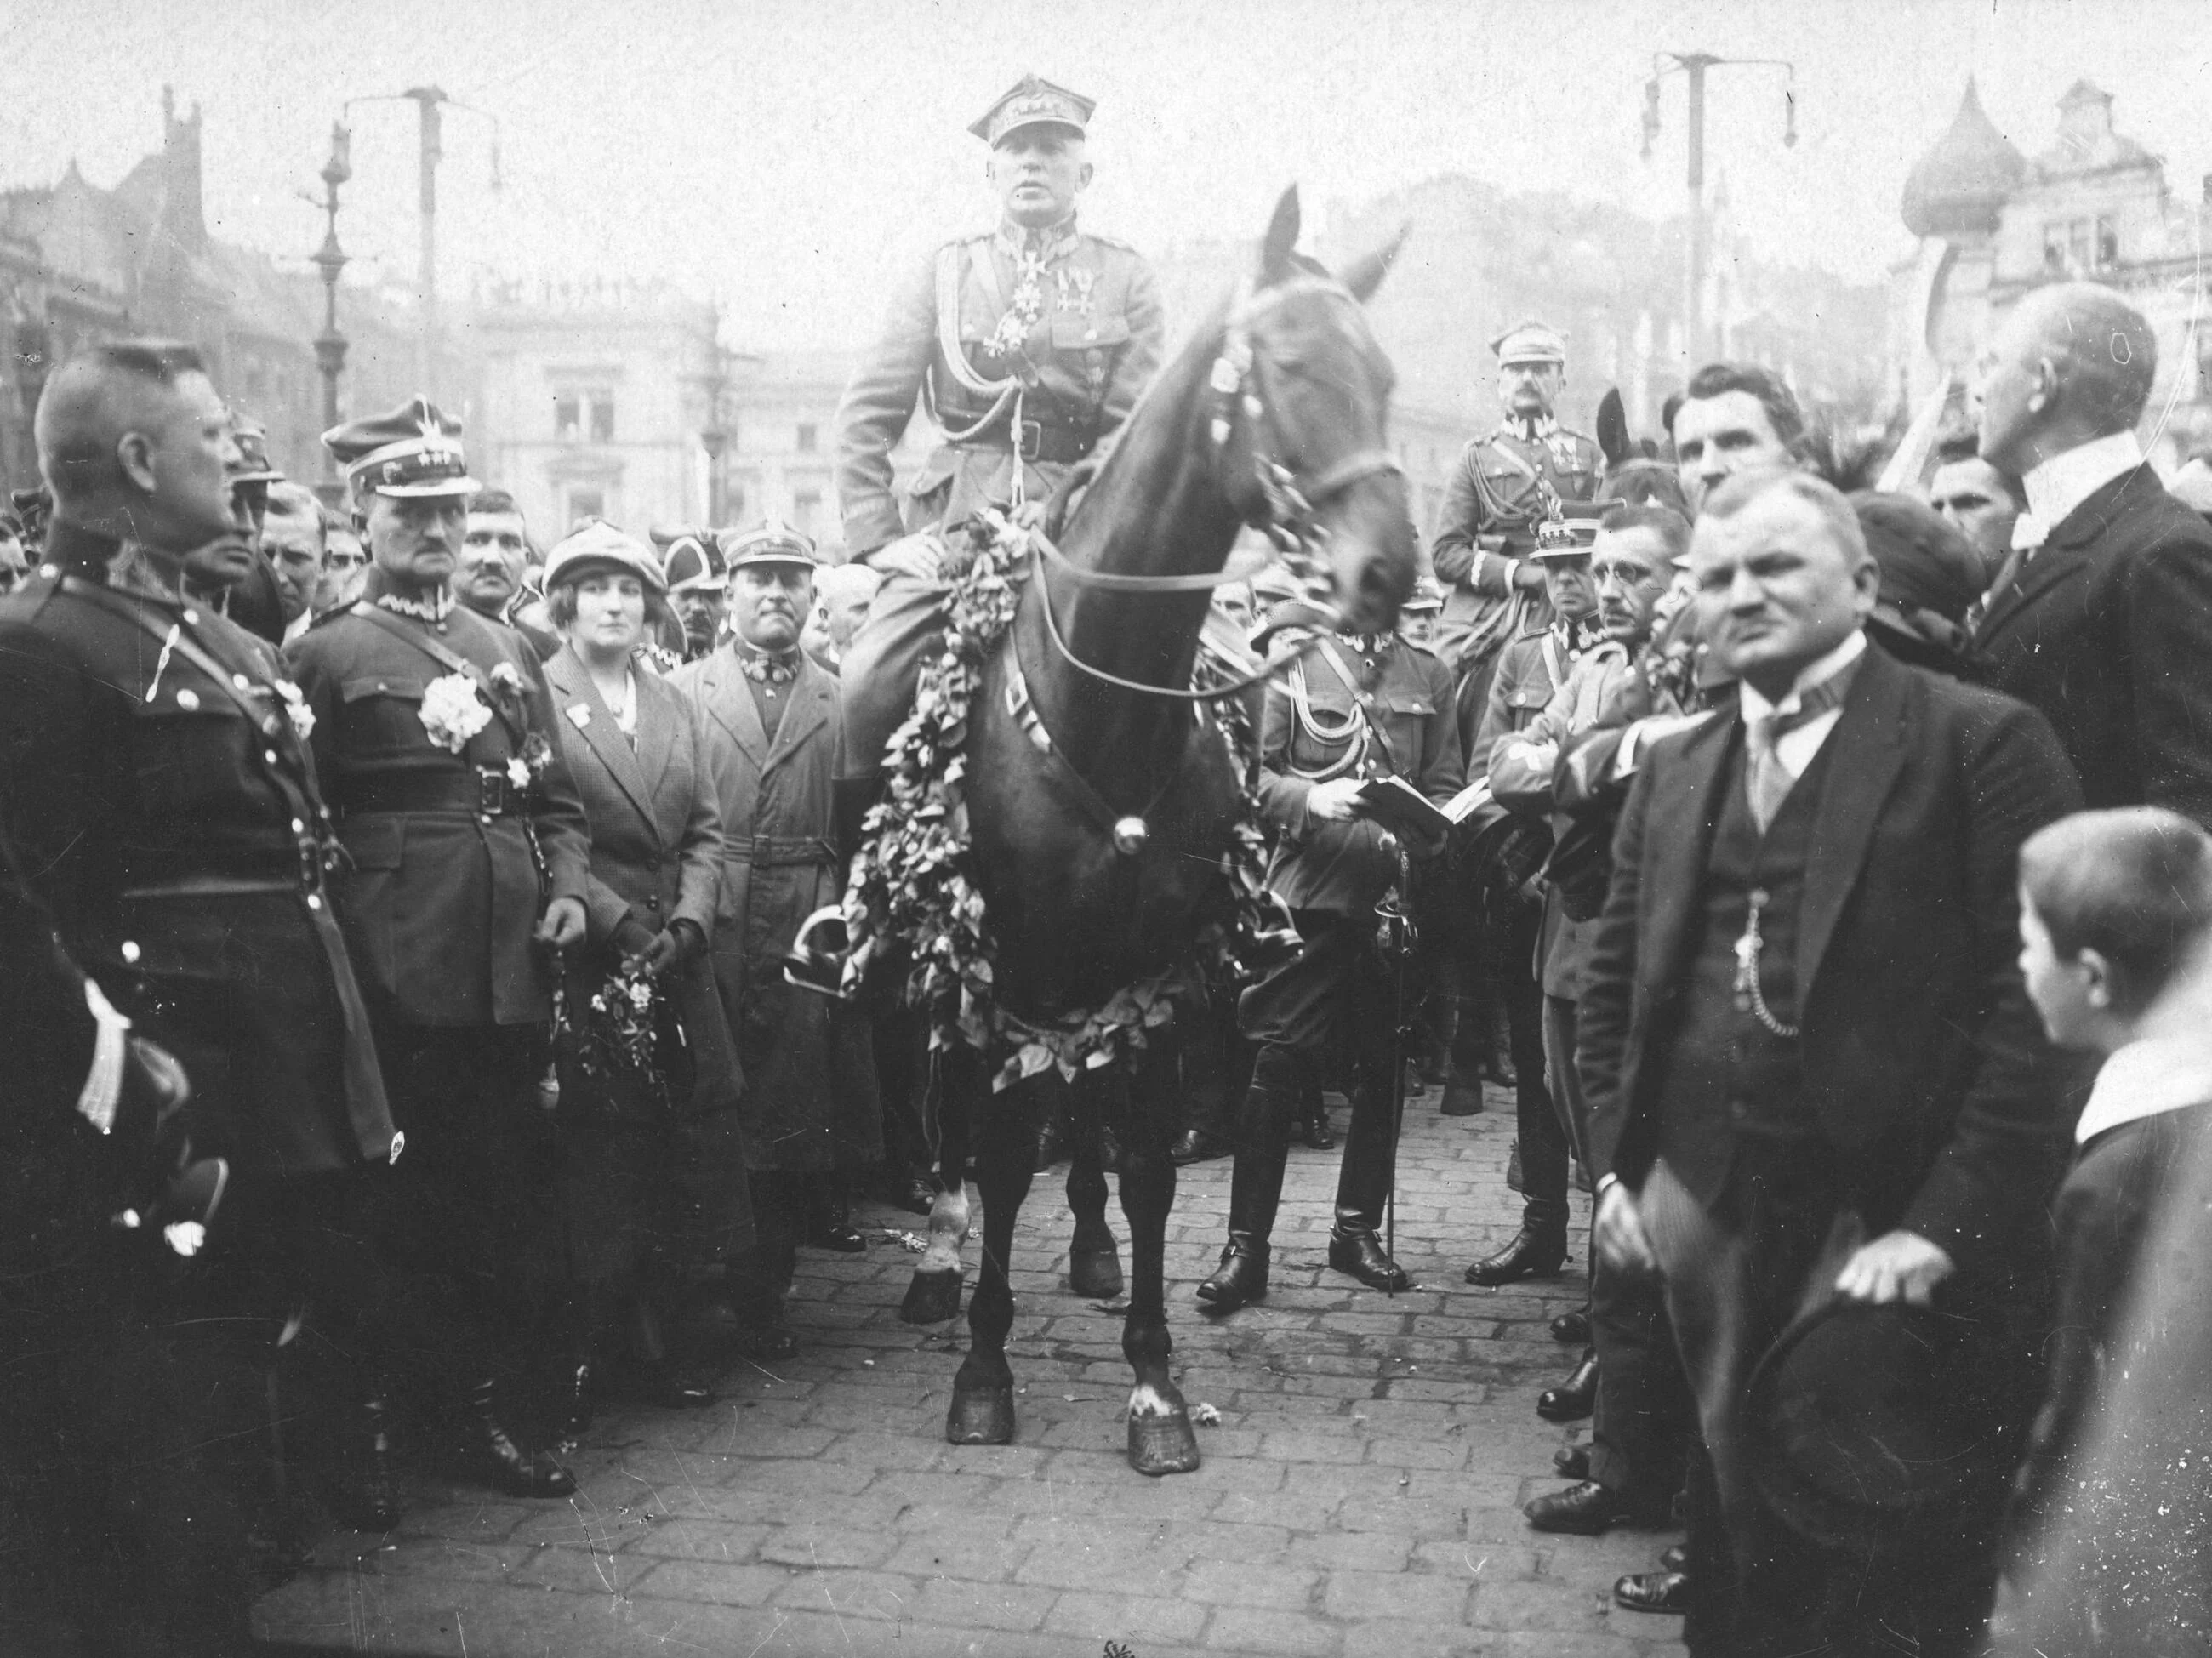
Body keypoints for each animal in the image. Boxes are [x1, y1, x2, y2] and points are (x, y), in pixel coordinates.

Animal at [889, 191, 1406, 1476]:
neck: (1105, 696)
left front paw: (1155, 1379)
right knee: (959, 1112)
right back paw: (942, 1254)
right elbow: (1002, 1152)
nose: (1392, 568)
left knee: (1084, 1111)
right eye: (1289, 368)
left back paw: (1088, 1249)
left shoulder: (1159, 968)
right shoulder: (1008, 960)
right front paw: (984, 1370)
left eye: (1383, 375)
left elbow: (1147, 1170)